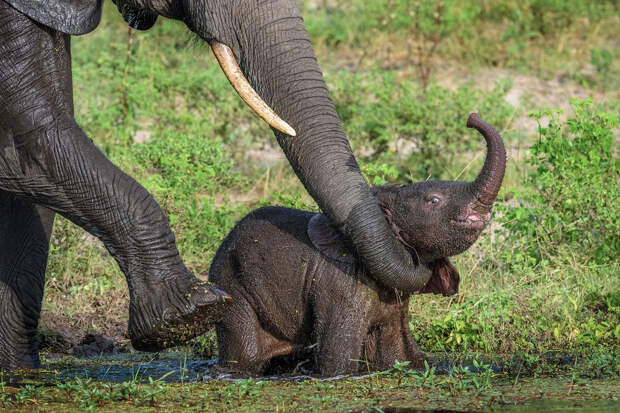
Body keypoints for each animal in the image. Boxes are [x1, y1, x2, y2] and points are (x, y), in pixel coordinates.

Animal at [211, 114, 506, 374]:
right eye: (434, 201)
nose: (471, 118)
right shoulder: (341, 287)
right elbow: (337, 363)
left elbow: (398, 356)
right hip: (231, 285)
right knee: (245, 353)